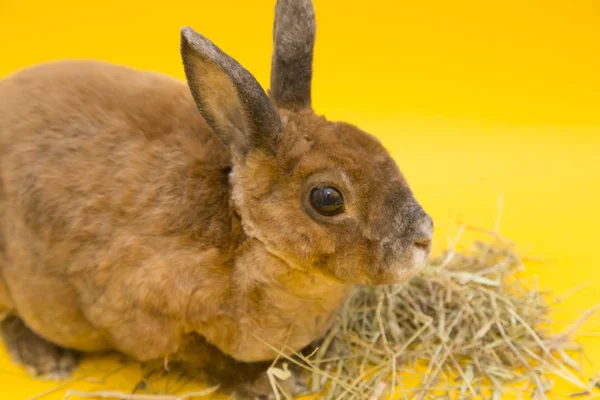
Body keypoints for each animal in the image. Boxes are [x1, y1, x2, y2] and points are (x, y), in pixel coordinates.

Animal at [0, 0, 432, 396]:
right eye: (327, 198)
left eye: (374, 144)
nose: (423, 238)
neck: (244, 234)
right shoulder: (147, 316)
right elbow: (209, 361)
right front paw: (270, 383)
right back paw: (48, 360)